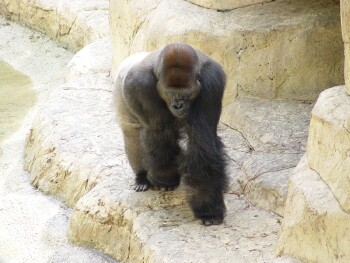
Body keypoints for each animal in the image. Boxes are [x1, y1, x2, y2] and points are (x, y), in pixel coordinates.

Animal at [115, 43, 228, 227]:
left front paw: (207, 207)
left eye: (187, 93)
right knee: (131, 135)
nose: (178, 105)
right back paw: (141, 178)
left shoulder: (212, 82)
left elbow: (202, 141)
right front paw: (164, 179)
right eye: (169, 93)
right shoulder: (139, 85)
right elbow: (160, 134)